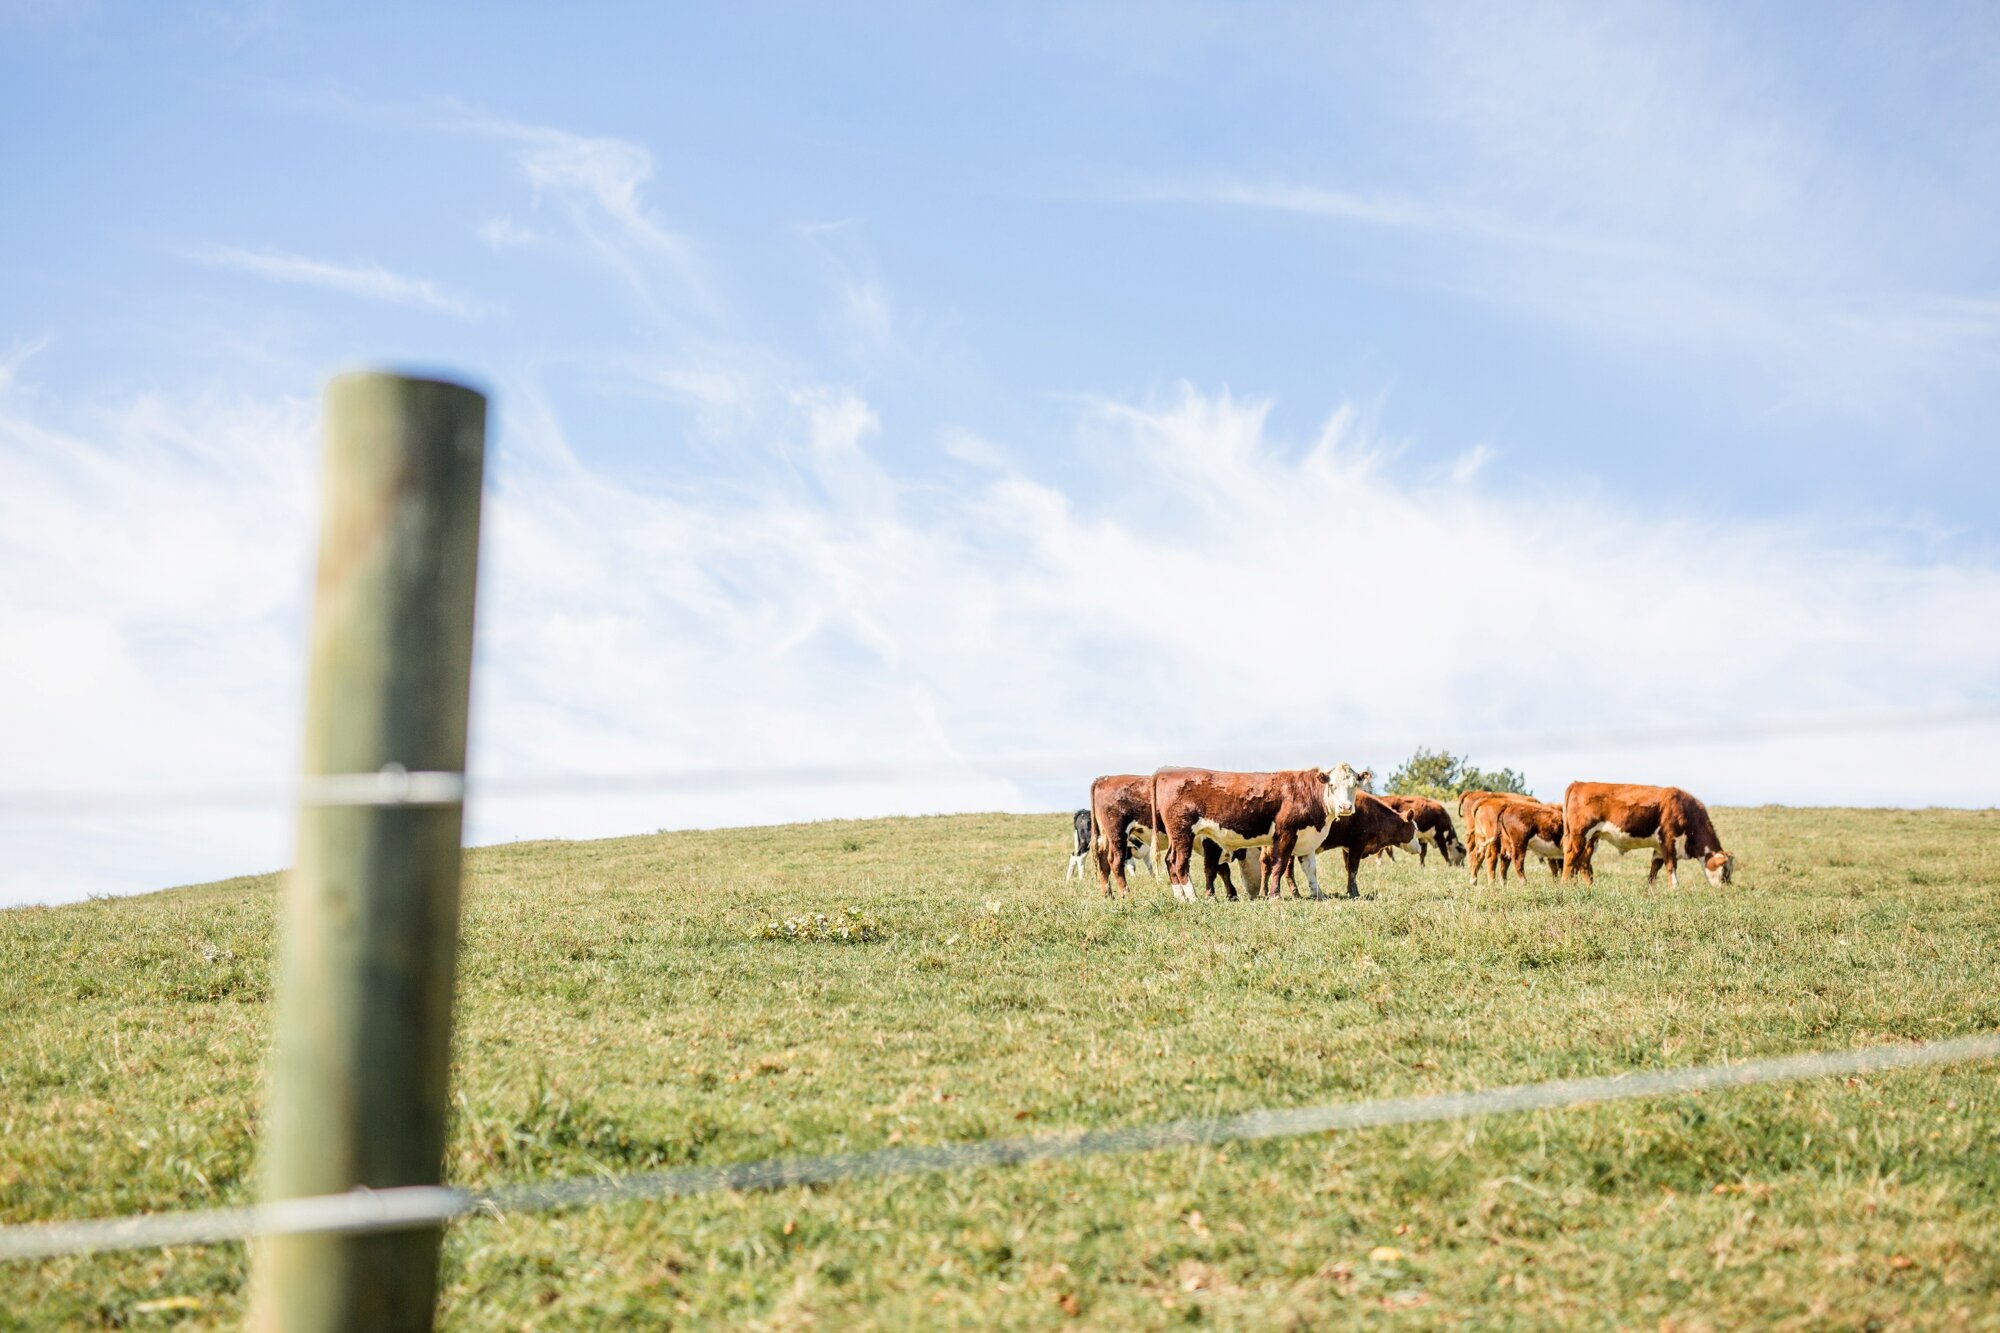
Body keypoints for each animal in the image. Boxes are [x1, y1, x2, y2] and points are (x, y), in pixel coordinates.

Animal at [1152, 764, 1368, 896]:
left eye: (1354, 784)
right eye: (1332, 785)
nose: (1346, 807)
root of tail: (1168, 771)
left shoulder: (1307, 839)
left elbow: (1310, 870)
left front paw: (1318, 895)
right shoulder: (1285, 834)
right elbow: (1279, 865)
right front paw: (1274, 895)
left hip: (1176, 836)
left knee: (1170, 861)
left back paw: (1180, 897)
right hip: (1183, 832)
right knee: (1180, 863)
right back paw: (1192, 897)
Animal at [1560, 772, 1736, 888]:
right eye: (1725, 871)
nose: (1727, 888)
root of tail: (1580, 783)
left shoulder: (1659, 846)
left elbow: (1655, 867)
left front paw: (1651, 889)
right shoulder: (1668, 840)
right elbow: (1671, 865)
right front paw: (1674, 888)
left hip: (1592, 837)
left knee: (1584, 861)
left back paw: (1590, 886)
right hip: (1579, 834)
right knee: (1571, 857)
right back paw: (1565, 884)